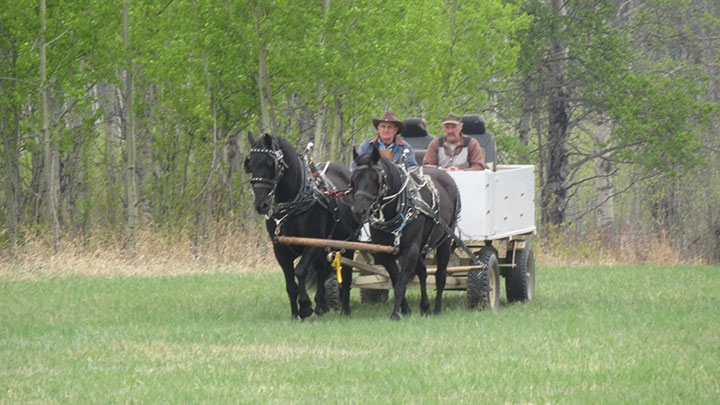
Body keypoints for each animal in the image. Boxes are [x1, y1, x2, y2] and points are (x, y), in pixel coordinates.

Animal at [245, 133, 360, 318]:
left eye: (271, 164)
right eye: (250, 164)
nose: (260, 204)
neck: (294, 203)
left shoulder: (312, 244)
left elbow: (300, 271)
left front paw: (305, 306)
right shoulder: (280, 249)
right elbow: (290, 283)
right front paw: (295, 313)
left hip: (348, 242)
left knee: (346, 274)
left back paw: (345, 310)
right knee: (322, 269)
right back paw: (321, 305)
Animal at [350, 145, 462, 318]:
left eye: (375, 178)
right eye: (353, 179)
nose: (358, 211)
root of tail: (445, 175)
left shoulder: (410, 250)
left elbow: (401, 283)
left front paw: (396, 313)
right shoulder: (385, 254)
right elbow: (396, 280)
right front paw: (406, 309)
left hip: (444, 240)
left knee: (440, 275)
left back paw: (437, 308)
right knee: (423, 272)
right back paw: (425, 306)